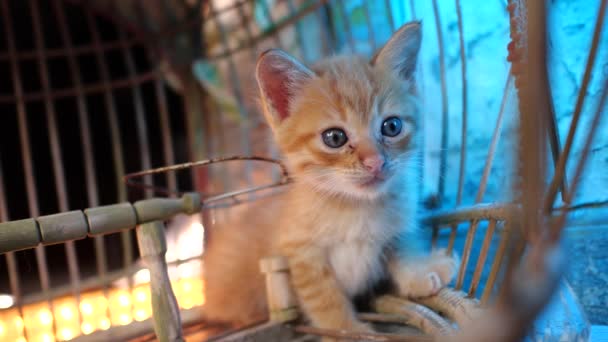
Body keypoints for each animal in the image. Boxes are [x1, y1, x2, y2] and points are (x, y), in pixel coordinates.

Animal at [202, 22, 458, 336]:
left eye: (392, 126)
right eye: (334, 138)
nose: (375, 162)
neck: (354, 207)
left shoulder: (395, 228)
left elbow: (402, 247)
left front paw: (420, 272)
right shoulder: (300, 252)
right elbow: (324, 297)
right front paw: (348, 330)